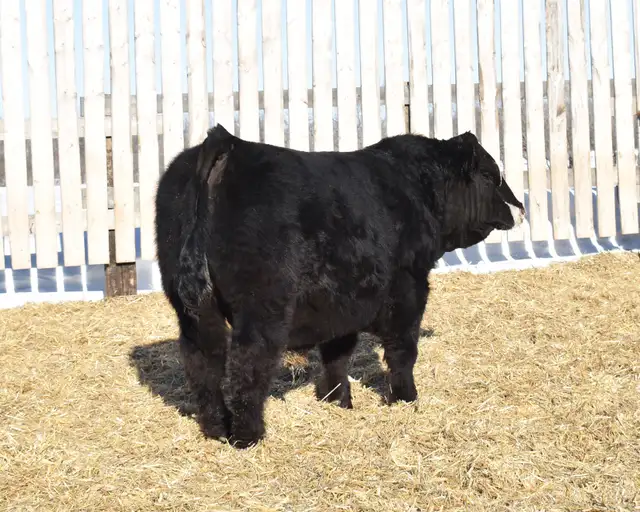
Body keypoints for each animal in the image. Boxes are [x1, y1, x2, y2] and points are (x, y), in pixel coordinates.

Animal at [154, 124, 525, 449]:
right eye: (490, 176)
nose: (521, 208)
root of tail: (229, 143)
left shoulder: (341, 300)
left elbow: (337, 353)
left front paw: (338, 401)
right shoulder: (408, 288)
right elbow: (402, 350)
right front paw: (406, 398)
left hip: (194, 312)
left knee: (203, 364)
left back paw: (216, 429)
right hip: (260, 309)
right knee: (247, 364)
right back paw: (248, 437)